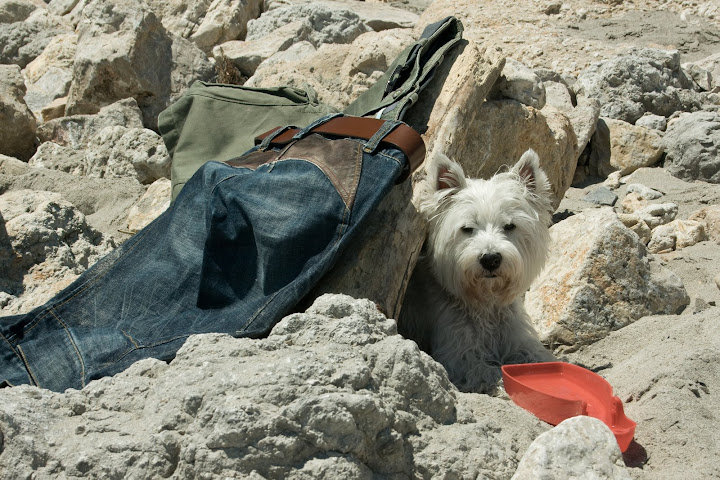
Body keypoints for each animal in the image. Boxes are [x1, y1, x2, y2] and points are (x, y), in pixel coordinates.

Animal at [399, 149, 556, 394]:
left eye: (509, 226)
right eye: (467, 228)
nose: (490, 259)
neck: (485, 303)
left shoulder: (518, 336)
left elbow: (540, 357)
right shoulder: (459, 352)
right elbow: (486, 370)